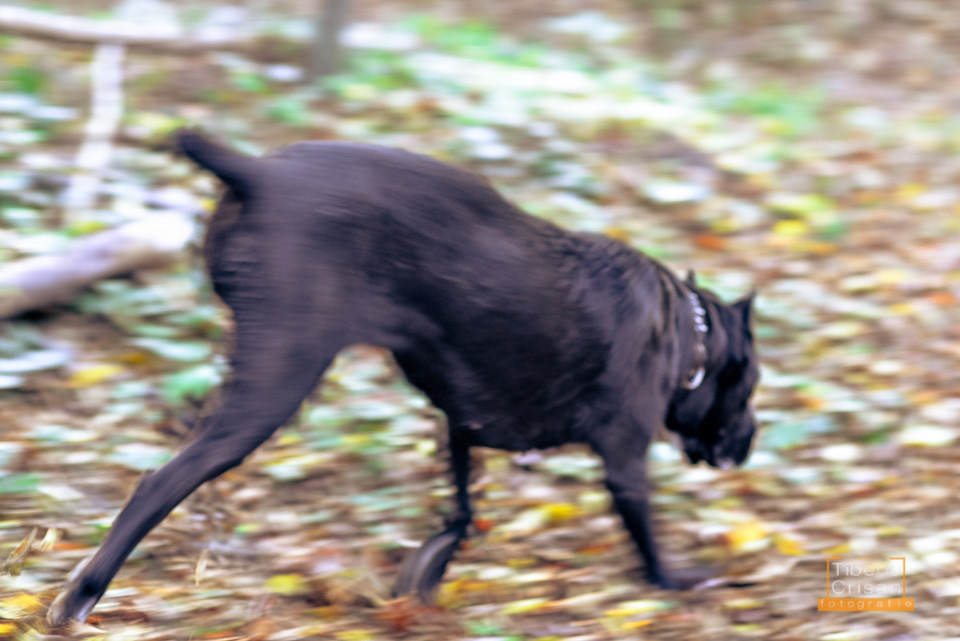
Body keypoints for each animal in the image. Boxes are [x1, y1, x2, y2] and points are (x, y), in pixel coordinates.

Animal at [50, 131, 756, 624]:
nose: (749, 441)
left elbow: (461, 506)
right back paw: (81, 596)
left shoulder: (462, 423)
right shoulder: (626, 460)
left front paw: (426, 571)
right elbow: (647, 538)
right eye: (749, 388)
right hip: (278, 379)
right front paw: (679, 580)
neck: (689, 334)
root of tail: (260, 173)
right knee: (160, 483)